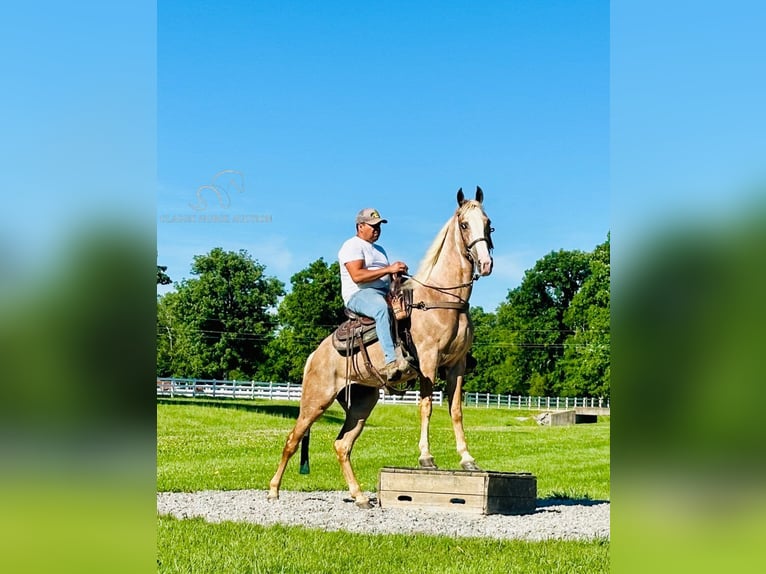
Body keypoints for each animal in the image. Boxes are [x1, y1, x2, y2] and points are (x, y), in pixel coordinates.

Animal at [270, 188, 496, 508]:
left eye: (488, 224)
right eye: (464, 224)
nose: (486, 264)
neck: (442, 300)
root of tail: (315, 355)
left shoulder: (457, 365)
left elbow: (455, 410)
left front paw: (467, 460)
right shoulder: (428, 362)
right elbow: (426, 407)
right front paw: (426, 458)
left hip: (362, 403)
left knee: (342, 445)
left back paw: (360, 496)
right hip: (316, 400)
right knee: (292, 440)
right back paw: (273, 490)